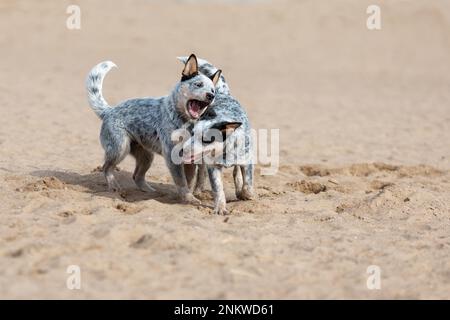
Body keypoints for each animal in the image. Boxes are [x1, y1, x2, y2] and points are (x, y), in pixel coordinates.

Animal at [85, 53, 221, 204]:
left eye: (213, 90)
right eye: (198, 84)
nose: (211, 96)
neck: (186, 123)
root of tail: (109, 111)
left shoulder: (190, 159)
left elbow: (189, 181)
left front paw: (189, 197)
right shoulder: (172, 157)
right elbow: (181, 181)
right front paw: (187, 198)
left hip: (147, 156)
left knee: (136, 176)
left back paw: (151, 192)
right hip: (120, 148)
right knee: (106, 167)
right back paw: (114, 187)